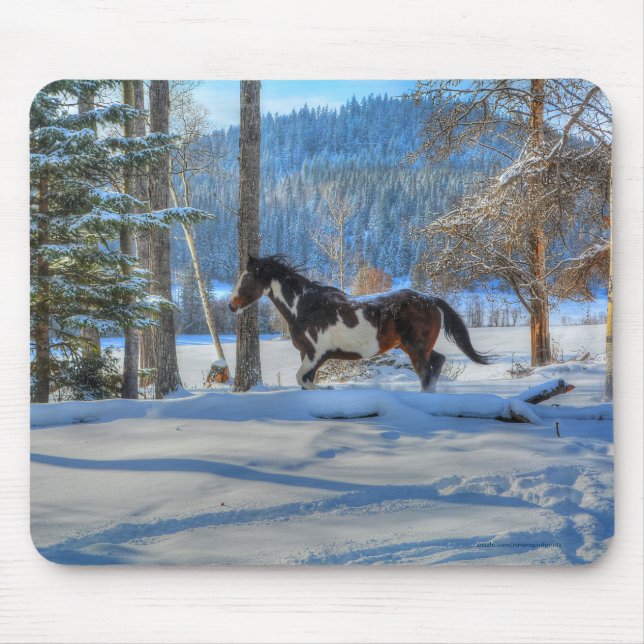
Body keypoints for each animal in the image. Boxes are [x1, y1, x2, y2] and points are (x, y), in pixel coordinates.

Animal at [229, 255, 493, 392]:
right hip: (412, 346)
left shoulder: (317, 355)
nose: (232, 305)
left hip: (416, 349)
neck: (304, 306)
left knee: (426, 374)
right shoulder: (305, 354)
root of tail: (431, 299)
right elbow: (305, 382)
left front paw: (329, 390)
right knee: (438, 362)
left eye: (246, 278)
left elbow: (302, 379)